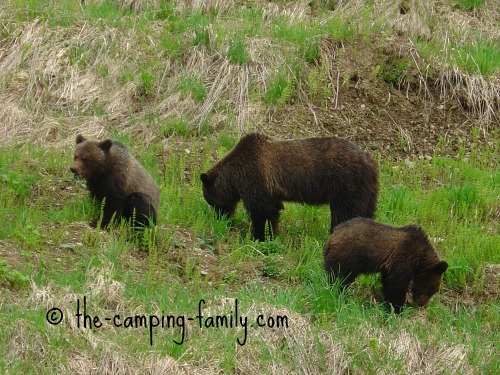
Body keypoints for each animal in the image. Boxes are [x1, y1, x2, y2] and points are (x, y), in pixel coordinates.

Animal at [201, 134, 376, 242]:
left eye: (210, 201)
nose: (220, 218)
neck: (234, 176)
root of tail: (370, 162)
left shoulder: (255, 176)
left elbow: (262, 211)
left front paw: (259, 236)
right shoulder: (270, 190)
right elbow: (272, 210)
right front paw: (270, 234)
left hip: (345, 183)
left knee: (345, 213)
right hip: (368, 191)